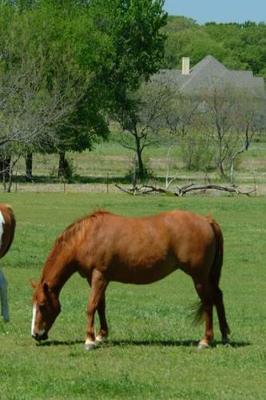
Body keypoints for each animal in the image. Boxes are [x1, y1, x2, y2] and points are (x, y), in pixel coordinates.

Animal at [31, 209, 231, 350]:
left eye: (42, 305)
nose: (35, 335)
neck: (87, 237)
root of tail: (206, 220)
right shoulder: (96, 279)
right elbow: (100, 305)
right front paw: (101, 335)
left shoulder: (99, 276)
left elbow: (91, 306)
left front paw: (89, 340)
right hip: (208, 277)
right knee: (218, 297)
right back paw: (225, 336)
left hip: (199, 277)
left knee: (208, 302)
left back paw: (206, 340)